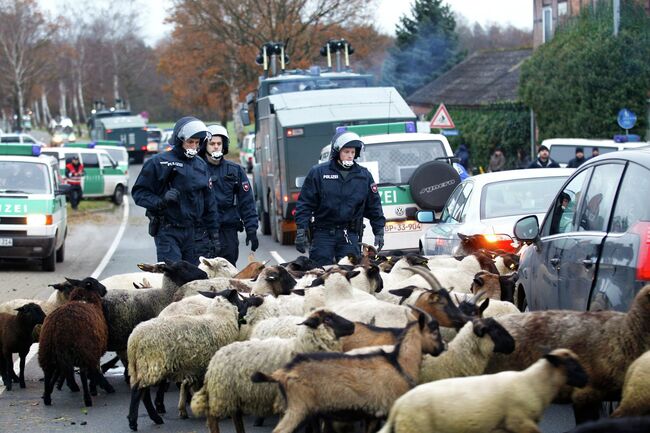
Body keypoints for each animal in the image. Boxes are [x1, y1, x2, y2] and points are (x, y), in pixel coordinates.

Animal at [380, 348, 588, 432]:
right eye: (573, 365)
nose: (586, 380)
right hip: (414, 430)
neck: (534, 383)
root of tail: (399, 405)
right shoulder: (520, 422)